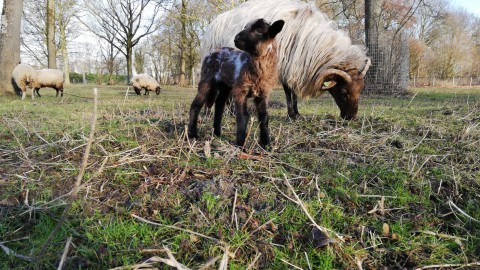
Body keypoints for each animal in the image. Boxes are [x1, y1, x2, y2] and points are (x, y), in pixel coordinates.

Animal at [188, 18, 284, 150]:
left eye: (259, 30)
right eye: (245, 27)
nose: (236, 38)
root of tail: (213, 51)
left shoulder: (263, 92)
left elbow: (264, 117)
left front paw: (266, 144)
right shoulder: (240, 89)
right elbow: (243, 116)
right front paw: (240, 145)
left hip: (225, 85)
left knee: (219, 104)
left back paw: (217, 133)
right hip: (207, 78)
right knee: (196, 104)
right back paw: (192, 135)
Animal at [202, 0, 372, 120]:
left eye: (361, 89)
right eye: (343, 91)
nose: (351, 117)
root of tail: (215, 21)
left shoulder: (292, 66)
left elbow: (293, 93)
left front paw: (297, 113)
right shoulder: (284, 65)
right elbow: (289, 91)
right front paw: (292, 115)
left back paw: (230, 111)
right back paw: (210, 113)